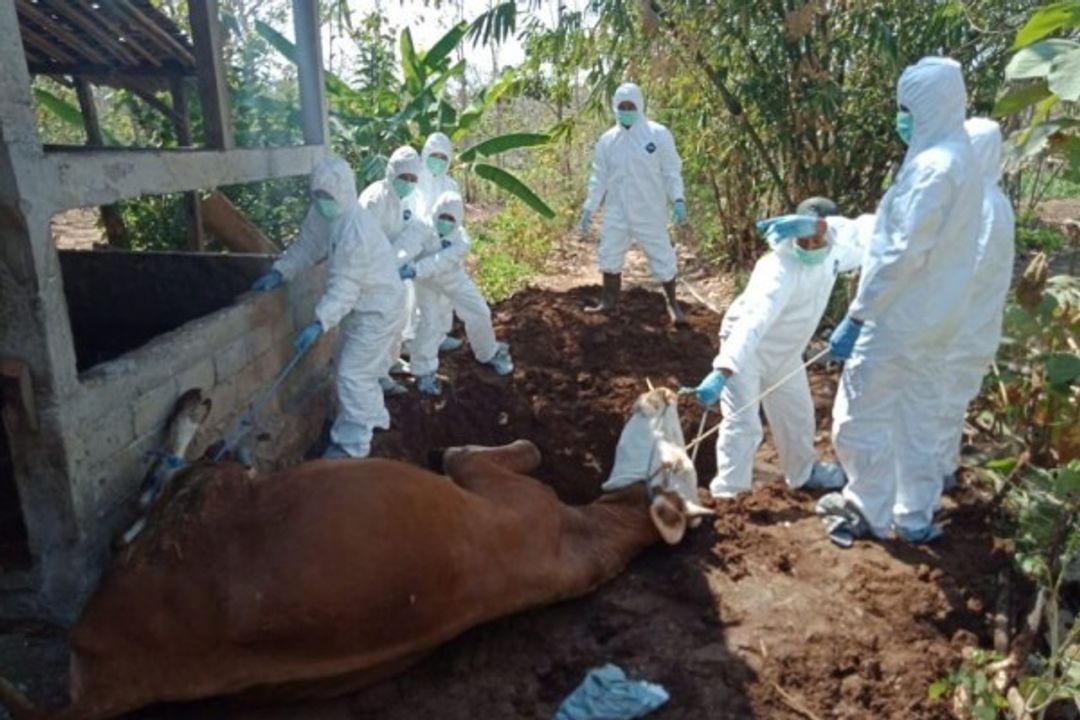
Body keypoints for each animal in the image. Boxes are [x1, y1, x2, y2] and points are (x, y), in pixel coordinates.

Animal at [0, 388, 704, 720]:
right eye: (680, 458)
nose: (665, 393)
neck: (581, 536)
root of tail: (120, 681)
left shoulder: (481, 471)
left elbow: (515, 446)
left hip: (204, 501)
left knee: (152, 501)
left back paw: (191, 415)